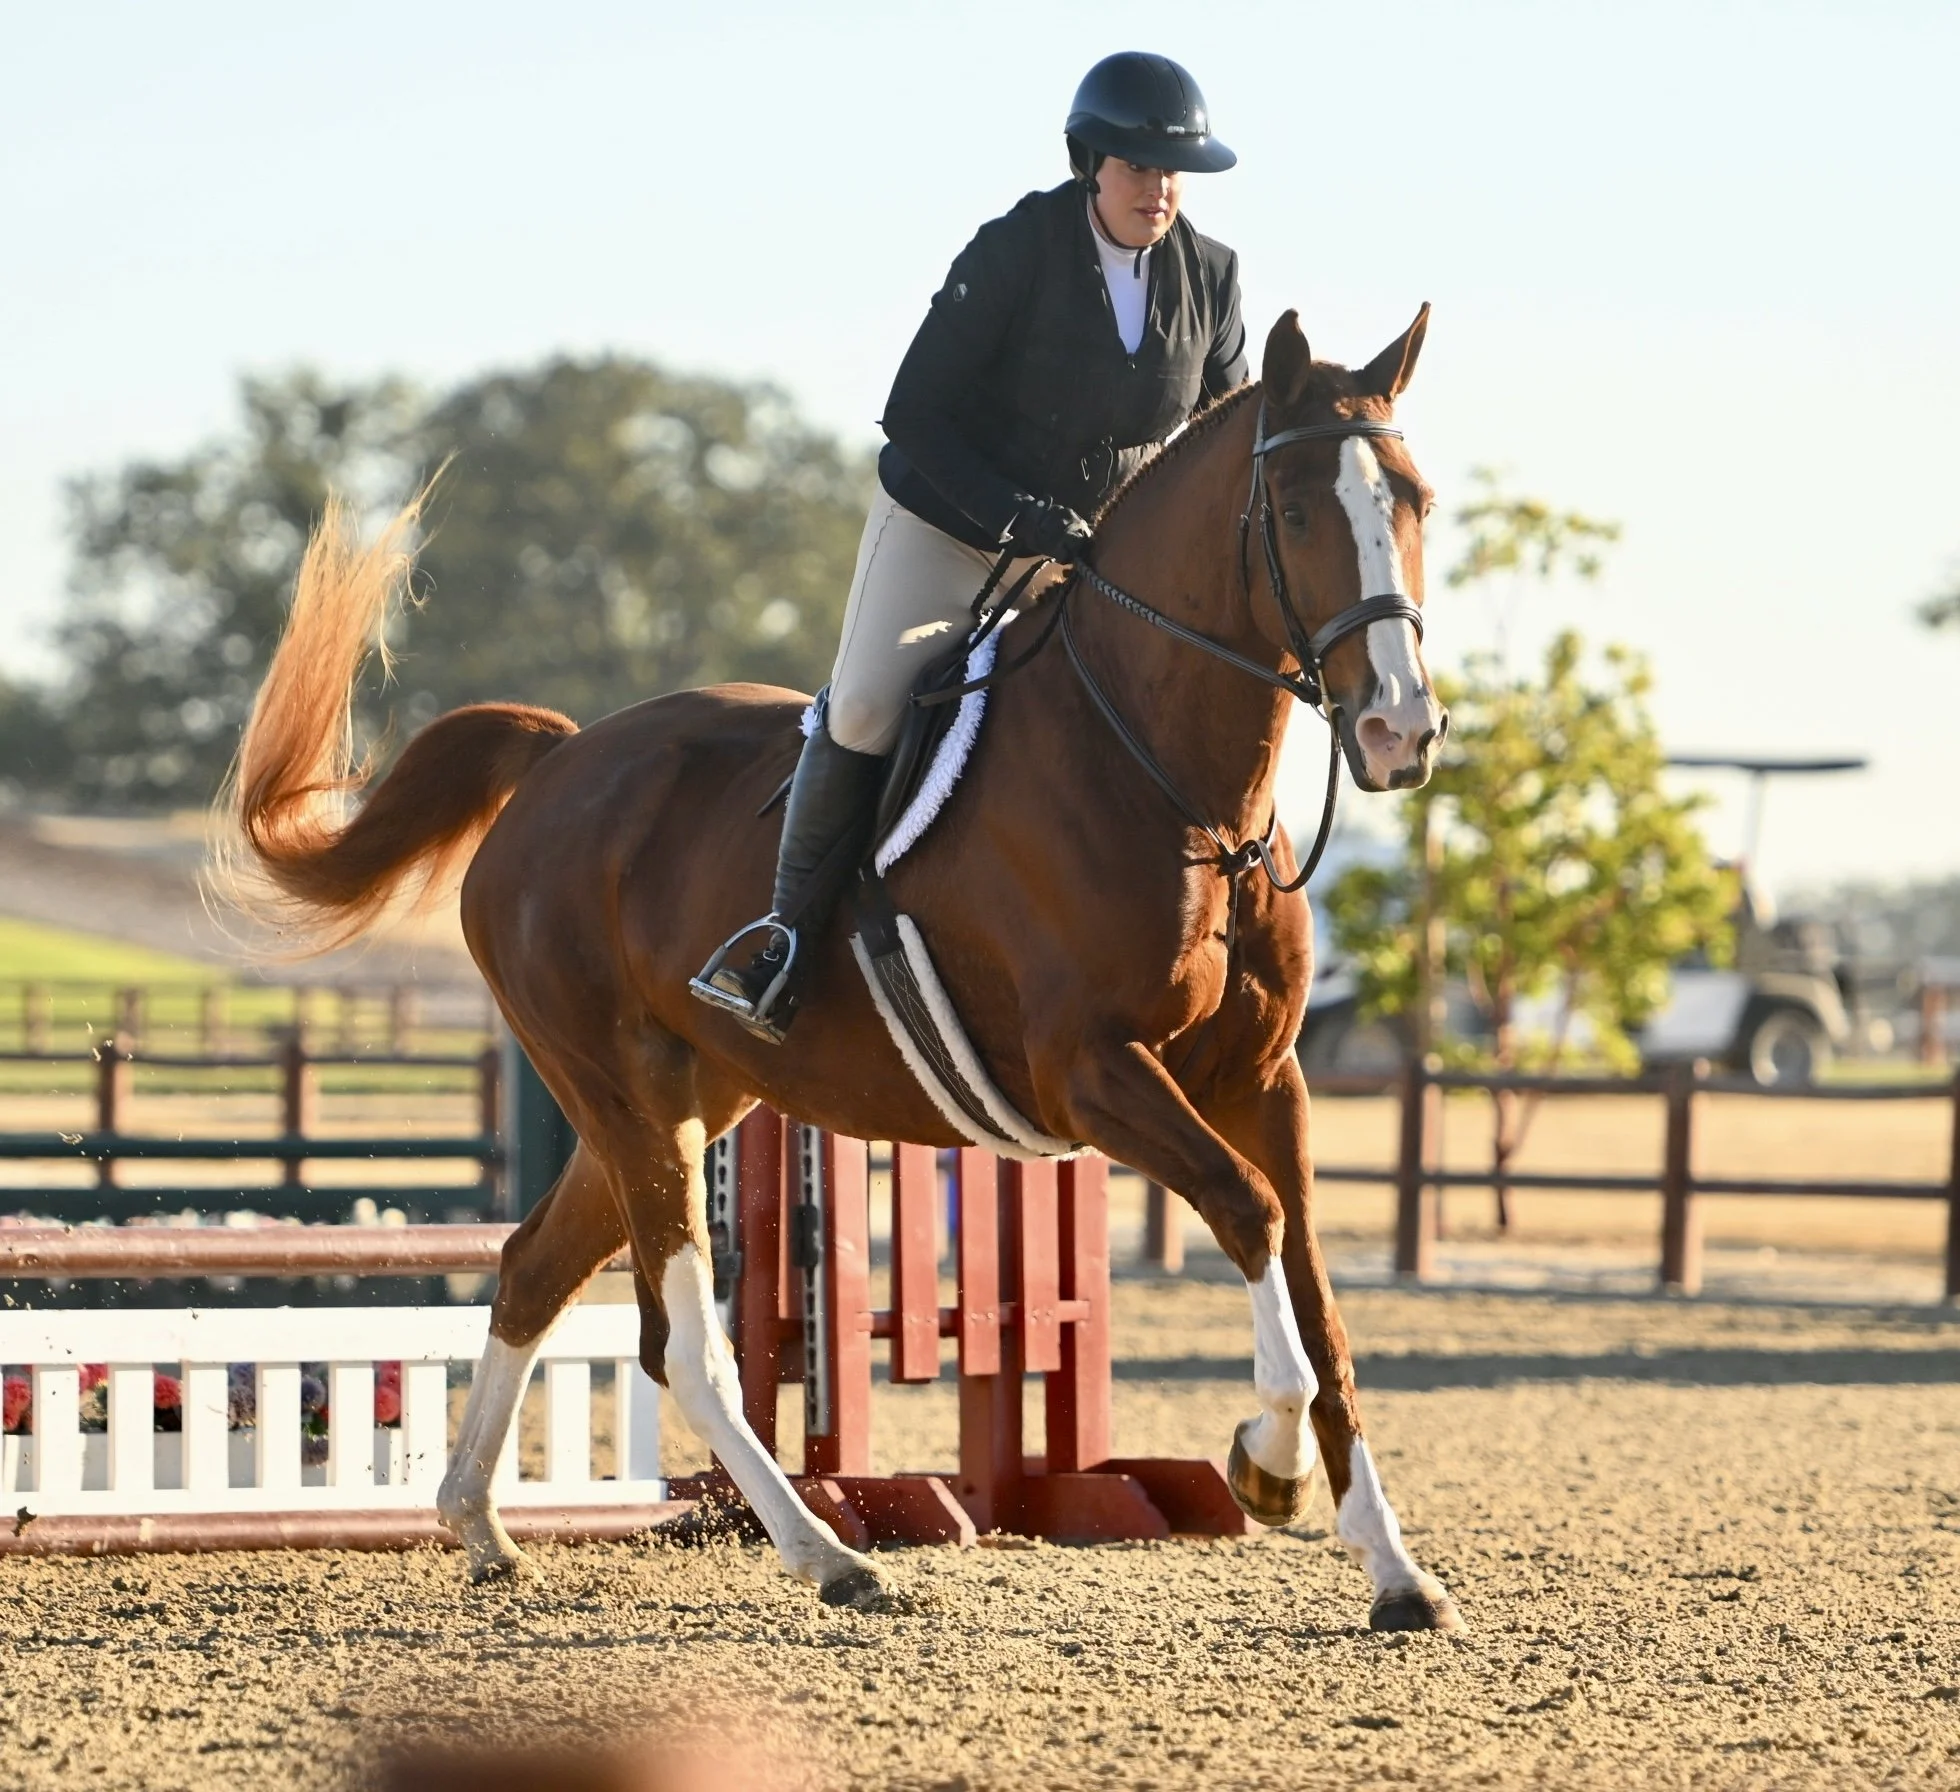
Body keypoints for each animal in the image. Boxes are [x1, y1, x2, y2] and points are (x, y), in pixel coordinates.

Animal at [224, 306, 1461, 1632]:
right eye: (1293, 510)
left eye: (1416, 501)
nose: (1398, 730)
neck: (1172, 782)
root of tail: (557, 761)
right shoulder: (1092, 1072)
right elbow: (1248, 1210)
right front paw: (1264, 1466)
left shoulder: (1261, 1079)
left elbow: (1316, 1301)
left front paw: (1393, 1567)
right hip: (623, 1094)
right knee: (685, 1348)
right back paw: (831, 1556)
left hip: (686, 1093)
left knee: (530, 1270)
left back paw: (481, 1526)